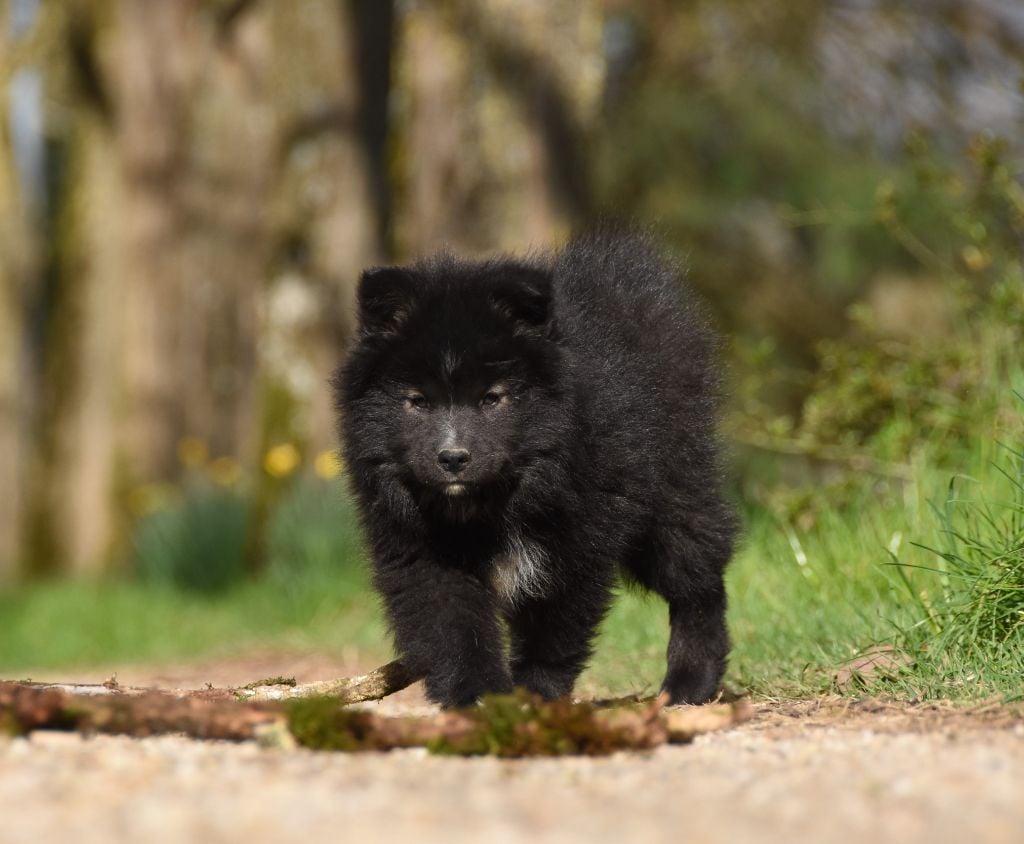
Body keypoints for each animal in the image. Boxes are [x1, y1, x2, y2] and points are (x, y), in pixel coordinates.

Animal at [335, 229, 737, 704]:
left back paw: (690, 681)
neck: (495, 499)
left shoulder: (576, 538)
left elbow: (553, 626)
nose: (452, 458)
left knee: (696, 574)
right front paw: (478, 696)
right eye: (417, 401)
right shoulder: (420, 548)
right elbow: (453, 623)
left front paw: (534, 696)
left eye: (492, 397)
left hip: (674, 483)